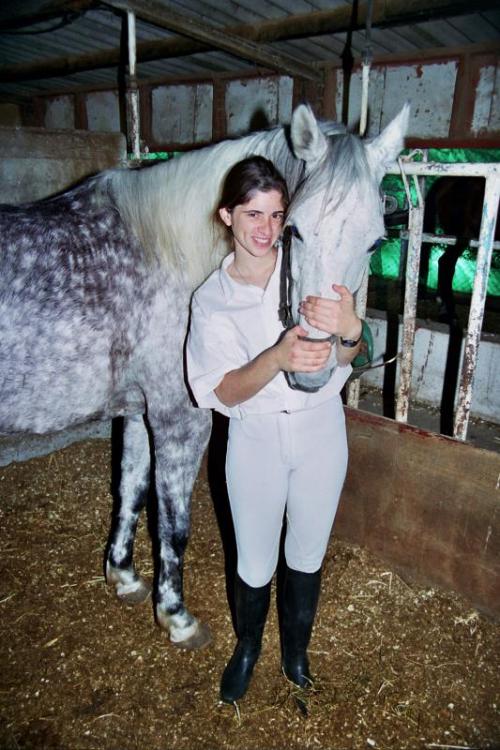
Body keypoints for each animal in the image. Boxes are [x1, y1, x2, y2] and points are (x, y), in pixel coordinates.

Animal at [0, 102, 409, 650]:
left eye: (374, 242)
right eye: (294, 228)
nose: (313, 368)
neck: (165, 254)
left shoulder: (140, 413)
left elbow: (131, 488)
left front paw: (124, 576)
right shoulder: (180, 420)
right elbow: (174, 523)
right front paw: (176, 616)